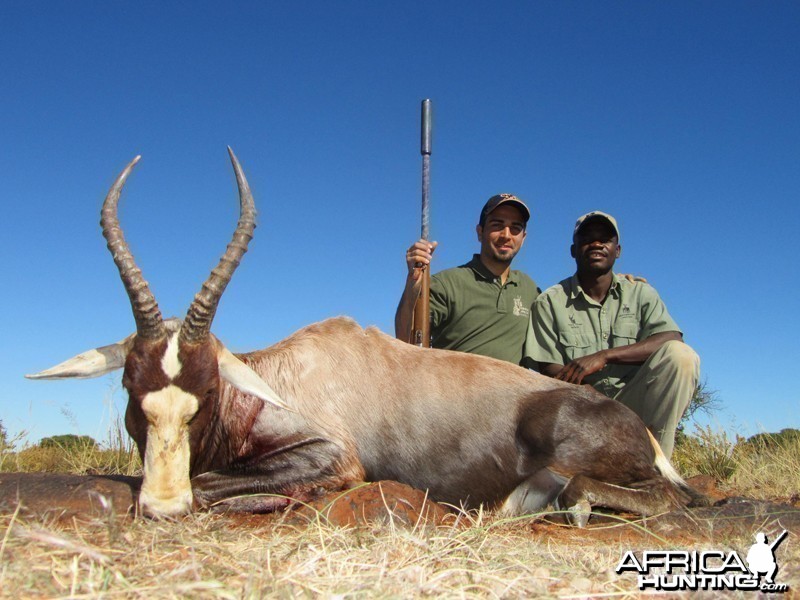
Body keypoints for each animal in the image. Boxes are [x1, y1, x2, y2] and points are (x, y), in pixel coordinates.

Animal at [28, 149, 696, 524]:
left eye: (206, 389)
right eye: (130, 389)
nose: (162, 508)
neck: (279, 374)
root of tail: (643, 434)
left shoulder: (334, 457)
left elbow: (212, 484)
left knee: (654, 497)